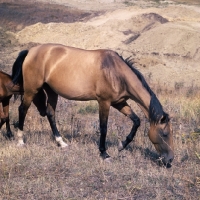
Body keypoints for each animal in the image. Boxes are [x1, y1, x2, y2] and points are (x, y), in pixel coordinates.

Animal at [11, 43, 173, 166]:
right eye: (165, 134)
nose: (170, 160)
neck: (115, 72)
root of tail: (30, 51)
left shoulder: (119, 102)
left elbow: (136, 121)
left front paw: (122, 145)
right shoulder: (104, 102)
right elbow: (103, 127)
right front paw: (104, 153)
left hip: (51, 91)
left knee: (51, 114)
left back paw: (61, 143)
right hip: (32, 90)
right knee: (22, 110)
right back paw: (20, 141)